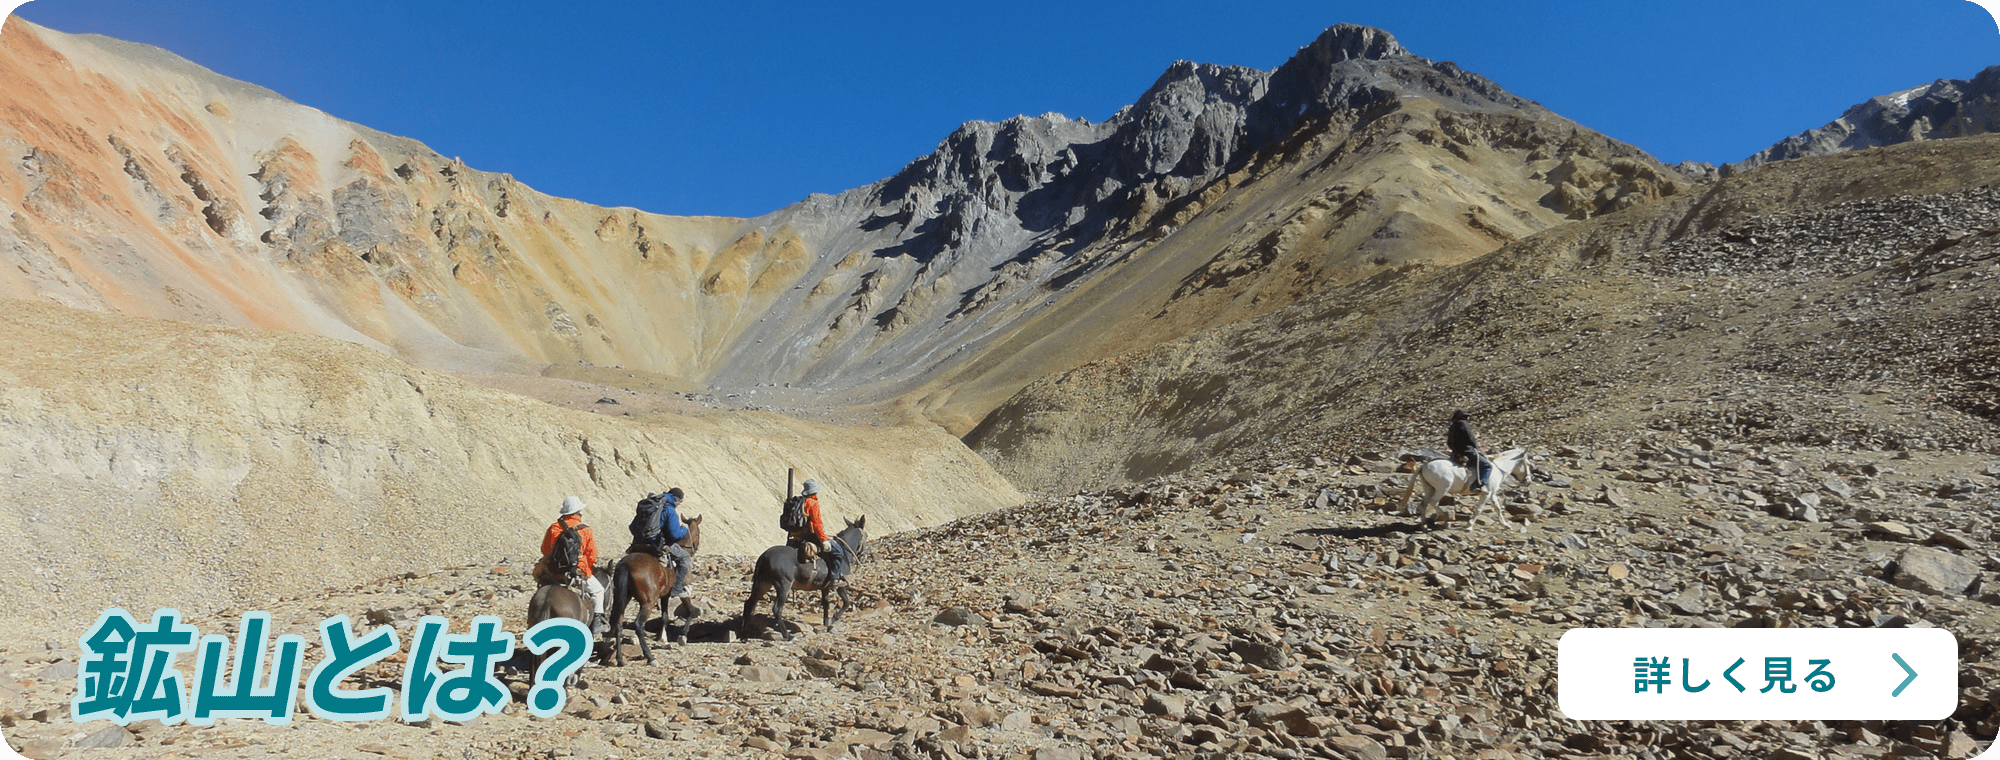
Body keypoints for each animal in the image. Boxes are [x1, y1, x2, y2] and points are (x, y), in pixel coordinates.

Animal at [600, 516, 704, 664]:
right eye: (699, 534)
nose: (696, 547)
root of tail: (626, 564)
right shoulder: (684, 592)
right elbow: (691, 611)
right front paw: (682, 637)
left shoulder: (665, 595)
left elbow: (665, 617)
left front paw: (663, 638)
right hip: (648, 602)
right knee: (638, 625)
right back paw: (650, 657)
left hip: (623, 598)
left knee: (618, 623)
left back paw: (620, 659)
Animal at [1400, 446, 1536, 528]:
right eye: (1528, 464)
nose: (1528, 481)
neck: (1498, 469)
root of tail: (1424, 465)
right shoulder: (1486, 494)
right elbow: (1479, 509)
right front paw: (1469, 525)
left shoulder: (1492, 494)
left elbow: (1497, 508)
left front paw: (1505, 525)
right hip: (1442, 489)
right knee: (1434, 502)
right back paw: (1445, 518)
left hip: (1429, 488)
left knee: (1423, 505)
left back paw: (1424, 525)